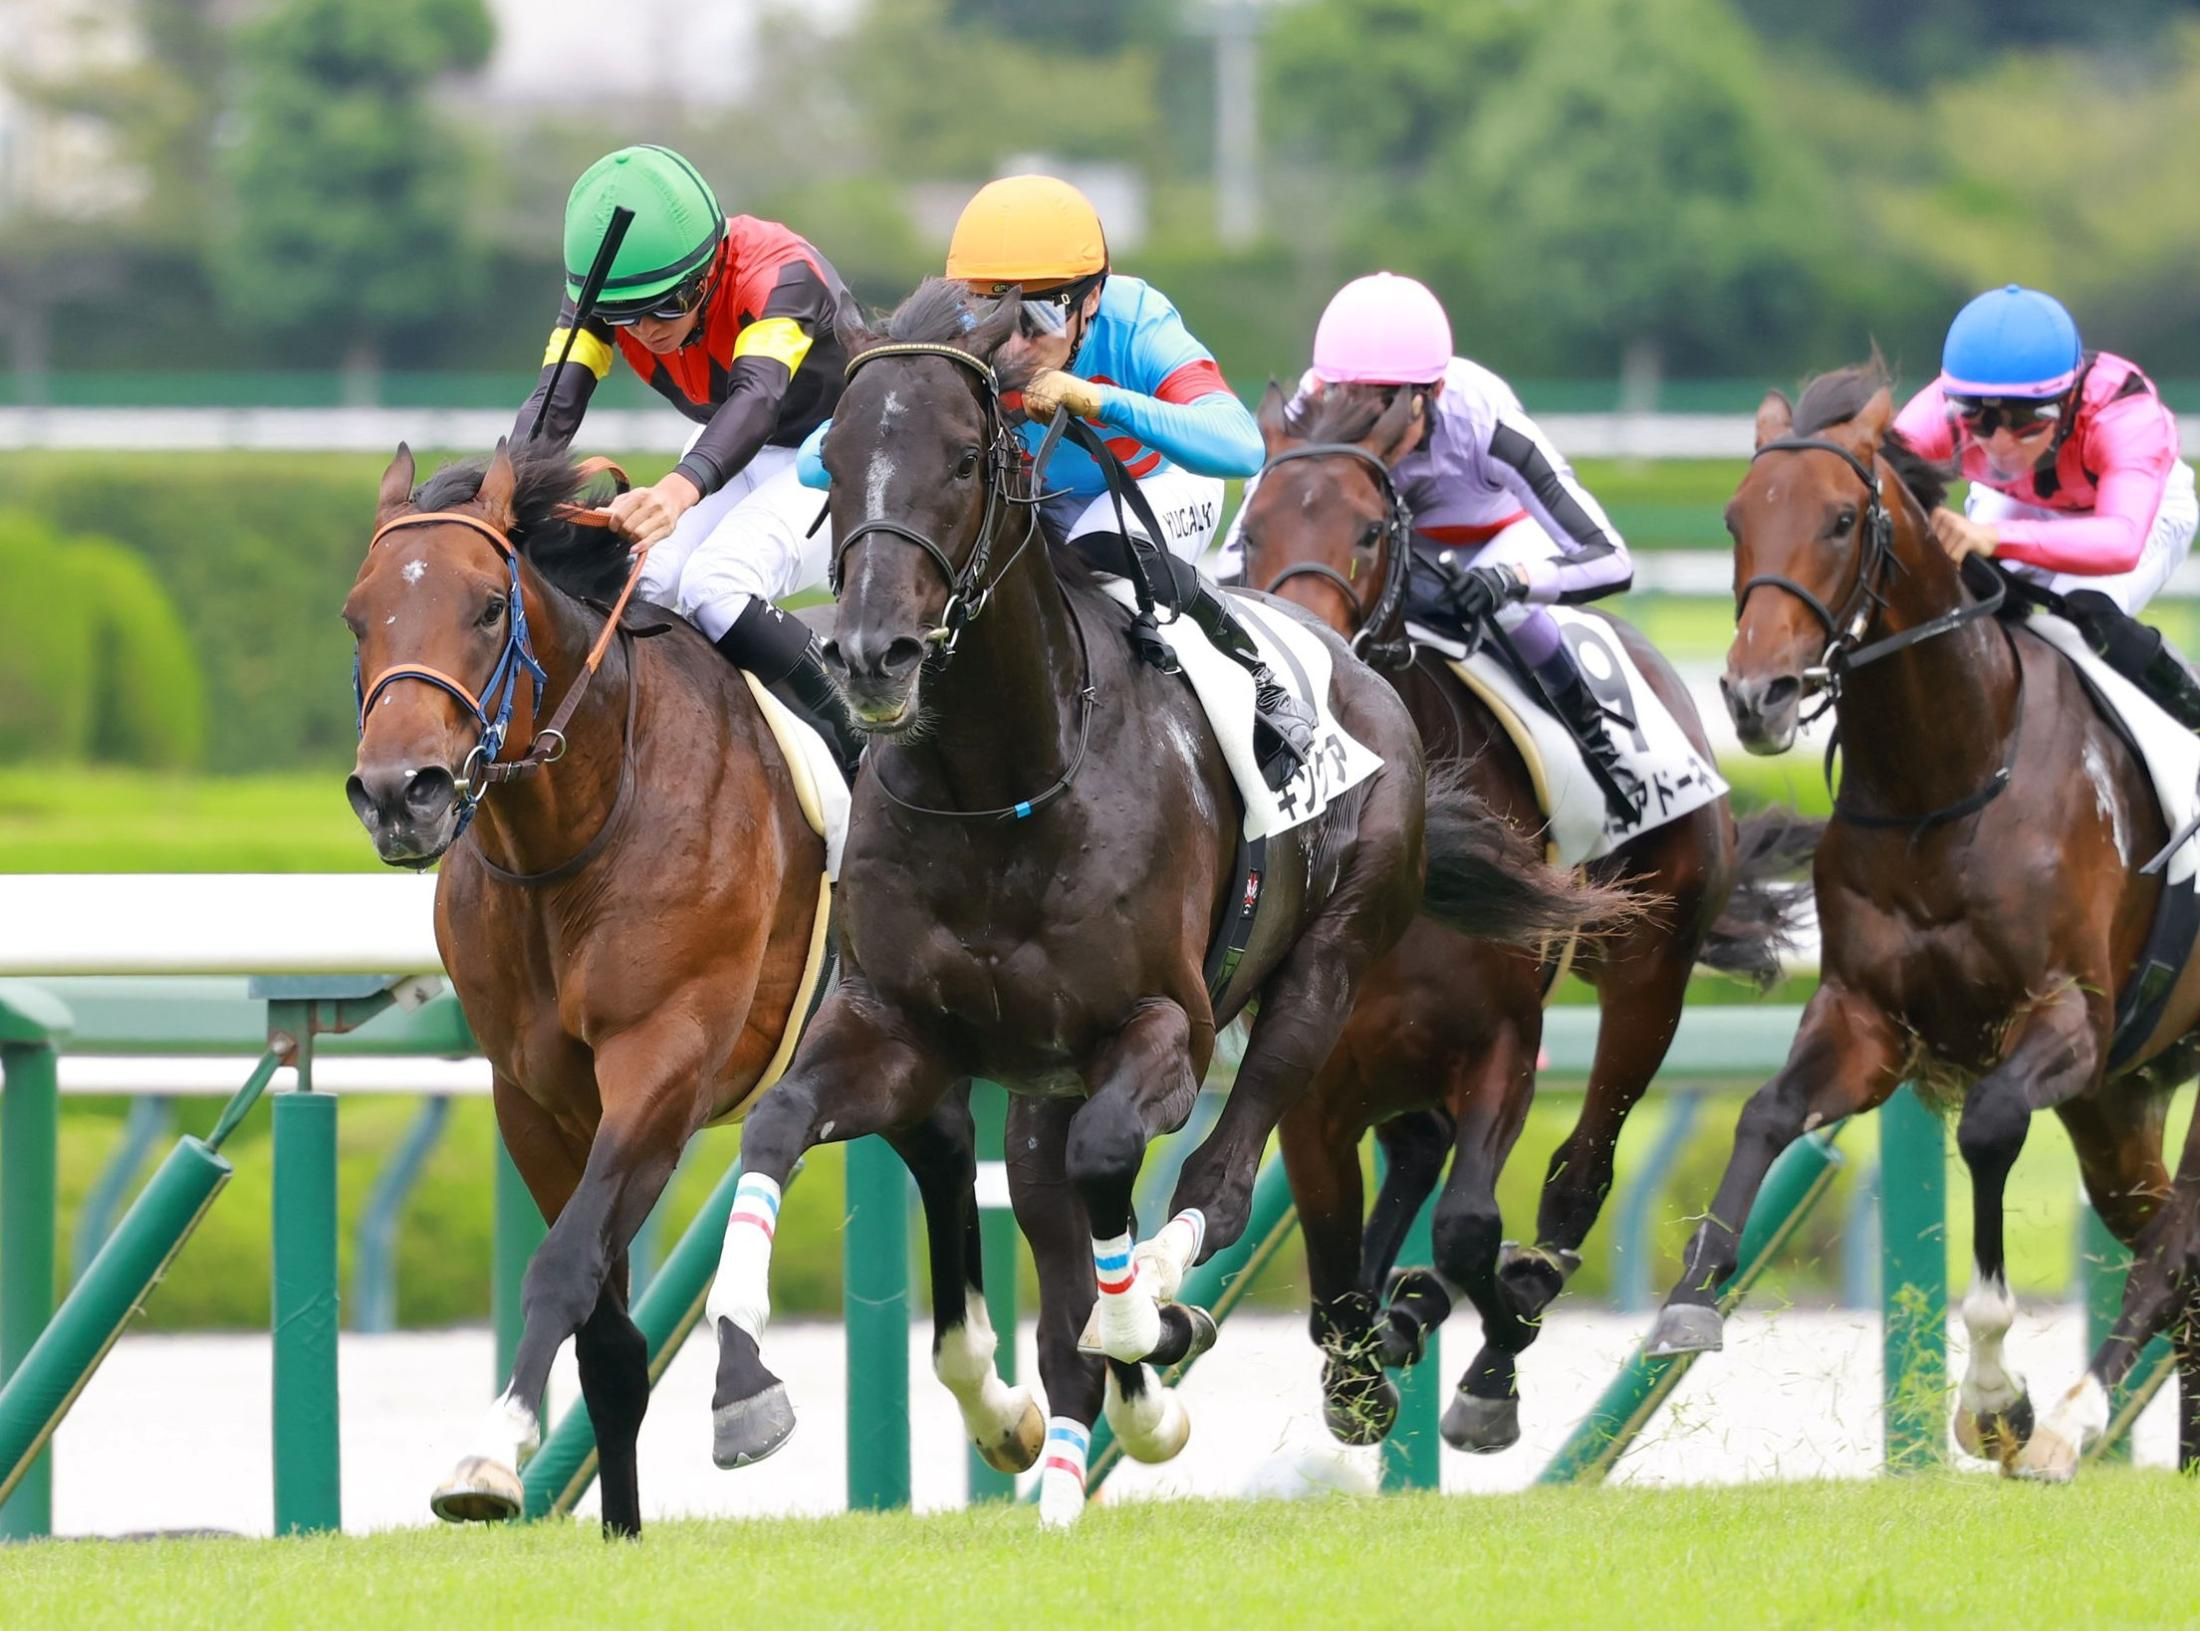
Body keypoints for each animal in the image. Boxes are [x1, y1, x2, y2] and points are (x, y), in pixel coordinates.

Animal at [343, 441, 1039, 1537]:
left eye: (488, 607)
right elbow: (607, 1336)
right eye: (356, 615)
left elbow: (562, 1264)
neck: (581, 825)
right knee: (941, 1143)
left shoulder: (661, 1063)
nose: (397, 792)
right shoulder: (534, 1096)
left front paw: (490, 1450)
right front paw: (618, 1525)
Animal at [700, 279, 1627, 1527]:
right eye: (831, 460)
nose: (867, 654)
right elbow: (781, 1121)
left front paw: (1142, 1318)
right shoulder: (899, 1026)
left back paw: (1169, 1305)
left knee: (1222, 1174)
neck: (1003, 784)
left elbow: (1117, 1163)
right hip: (1043, 1078)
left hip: (1323, 970)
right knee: (1060, 1224)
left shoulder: (1164, 1026)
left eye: (963, 457)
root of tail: (1359, 663)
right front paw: (740, 1379)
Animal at [1235, 381, 1816, 1452]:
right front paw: (1361, 1368)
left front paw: (1486, 1363)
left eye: (1370, 528)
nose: (1305, 671)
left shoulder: (1502, 1039)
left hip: (1649, 974)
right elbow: (1333, 1283)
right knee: (1419, 1149)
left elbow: (1470, 1227)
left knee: (1578, 1169)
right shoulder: (1312, 1078)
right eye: (1250, 528)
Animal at [1645, 359, 2200, 1478]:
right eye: (1735, 516)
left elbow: (1986, 1126)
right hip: (2118, 1105)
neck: (1945, 781)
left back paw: (2070, 1418)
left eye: (1842, 517)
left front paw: (1996, 1397)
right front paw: (1690, 1296)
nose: (1756, 695)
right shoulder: (1868, 1015)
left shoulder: (2068, 1016)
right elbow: (1765, 1111)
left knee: (2177, 1245)